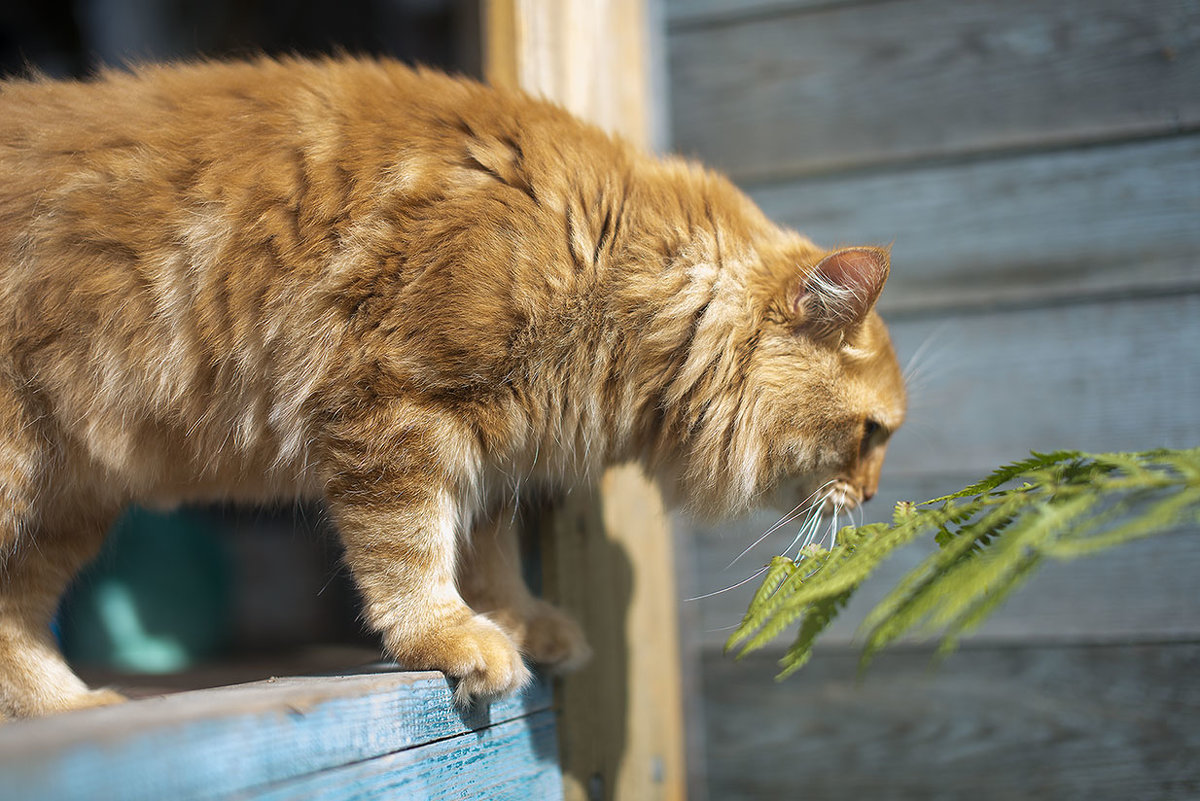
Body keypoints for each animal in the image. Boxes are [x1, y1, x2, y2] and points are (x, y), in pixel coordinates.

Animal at [0, 57, 902, 719]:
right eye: (874, 434)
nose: (867, 496)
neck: (615, 253)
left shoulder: (491, 452)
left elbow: (487, 552)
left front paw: (521, 622)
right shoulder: (392, 410)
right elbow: (412, 554)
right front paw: (454, 638)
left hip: (68, 503)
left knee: (15, 618)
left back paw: (69, 704)